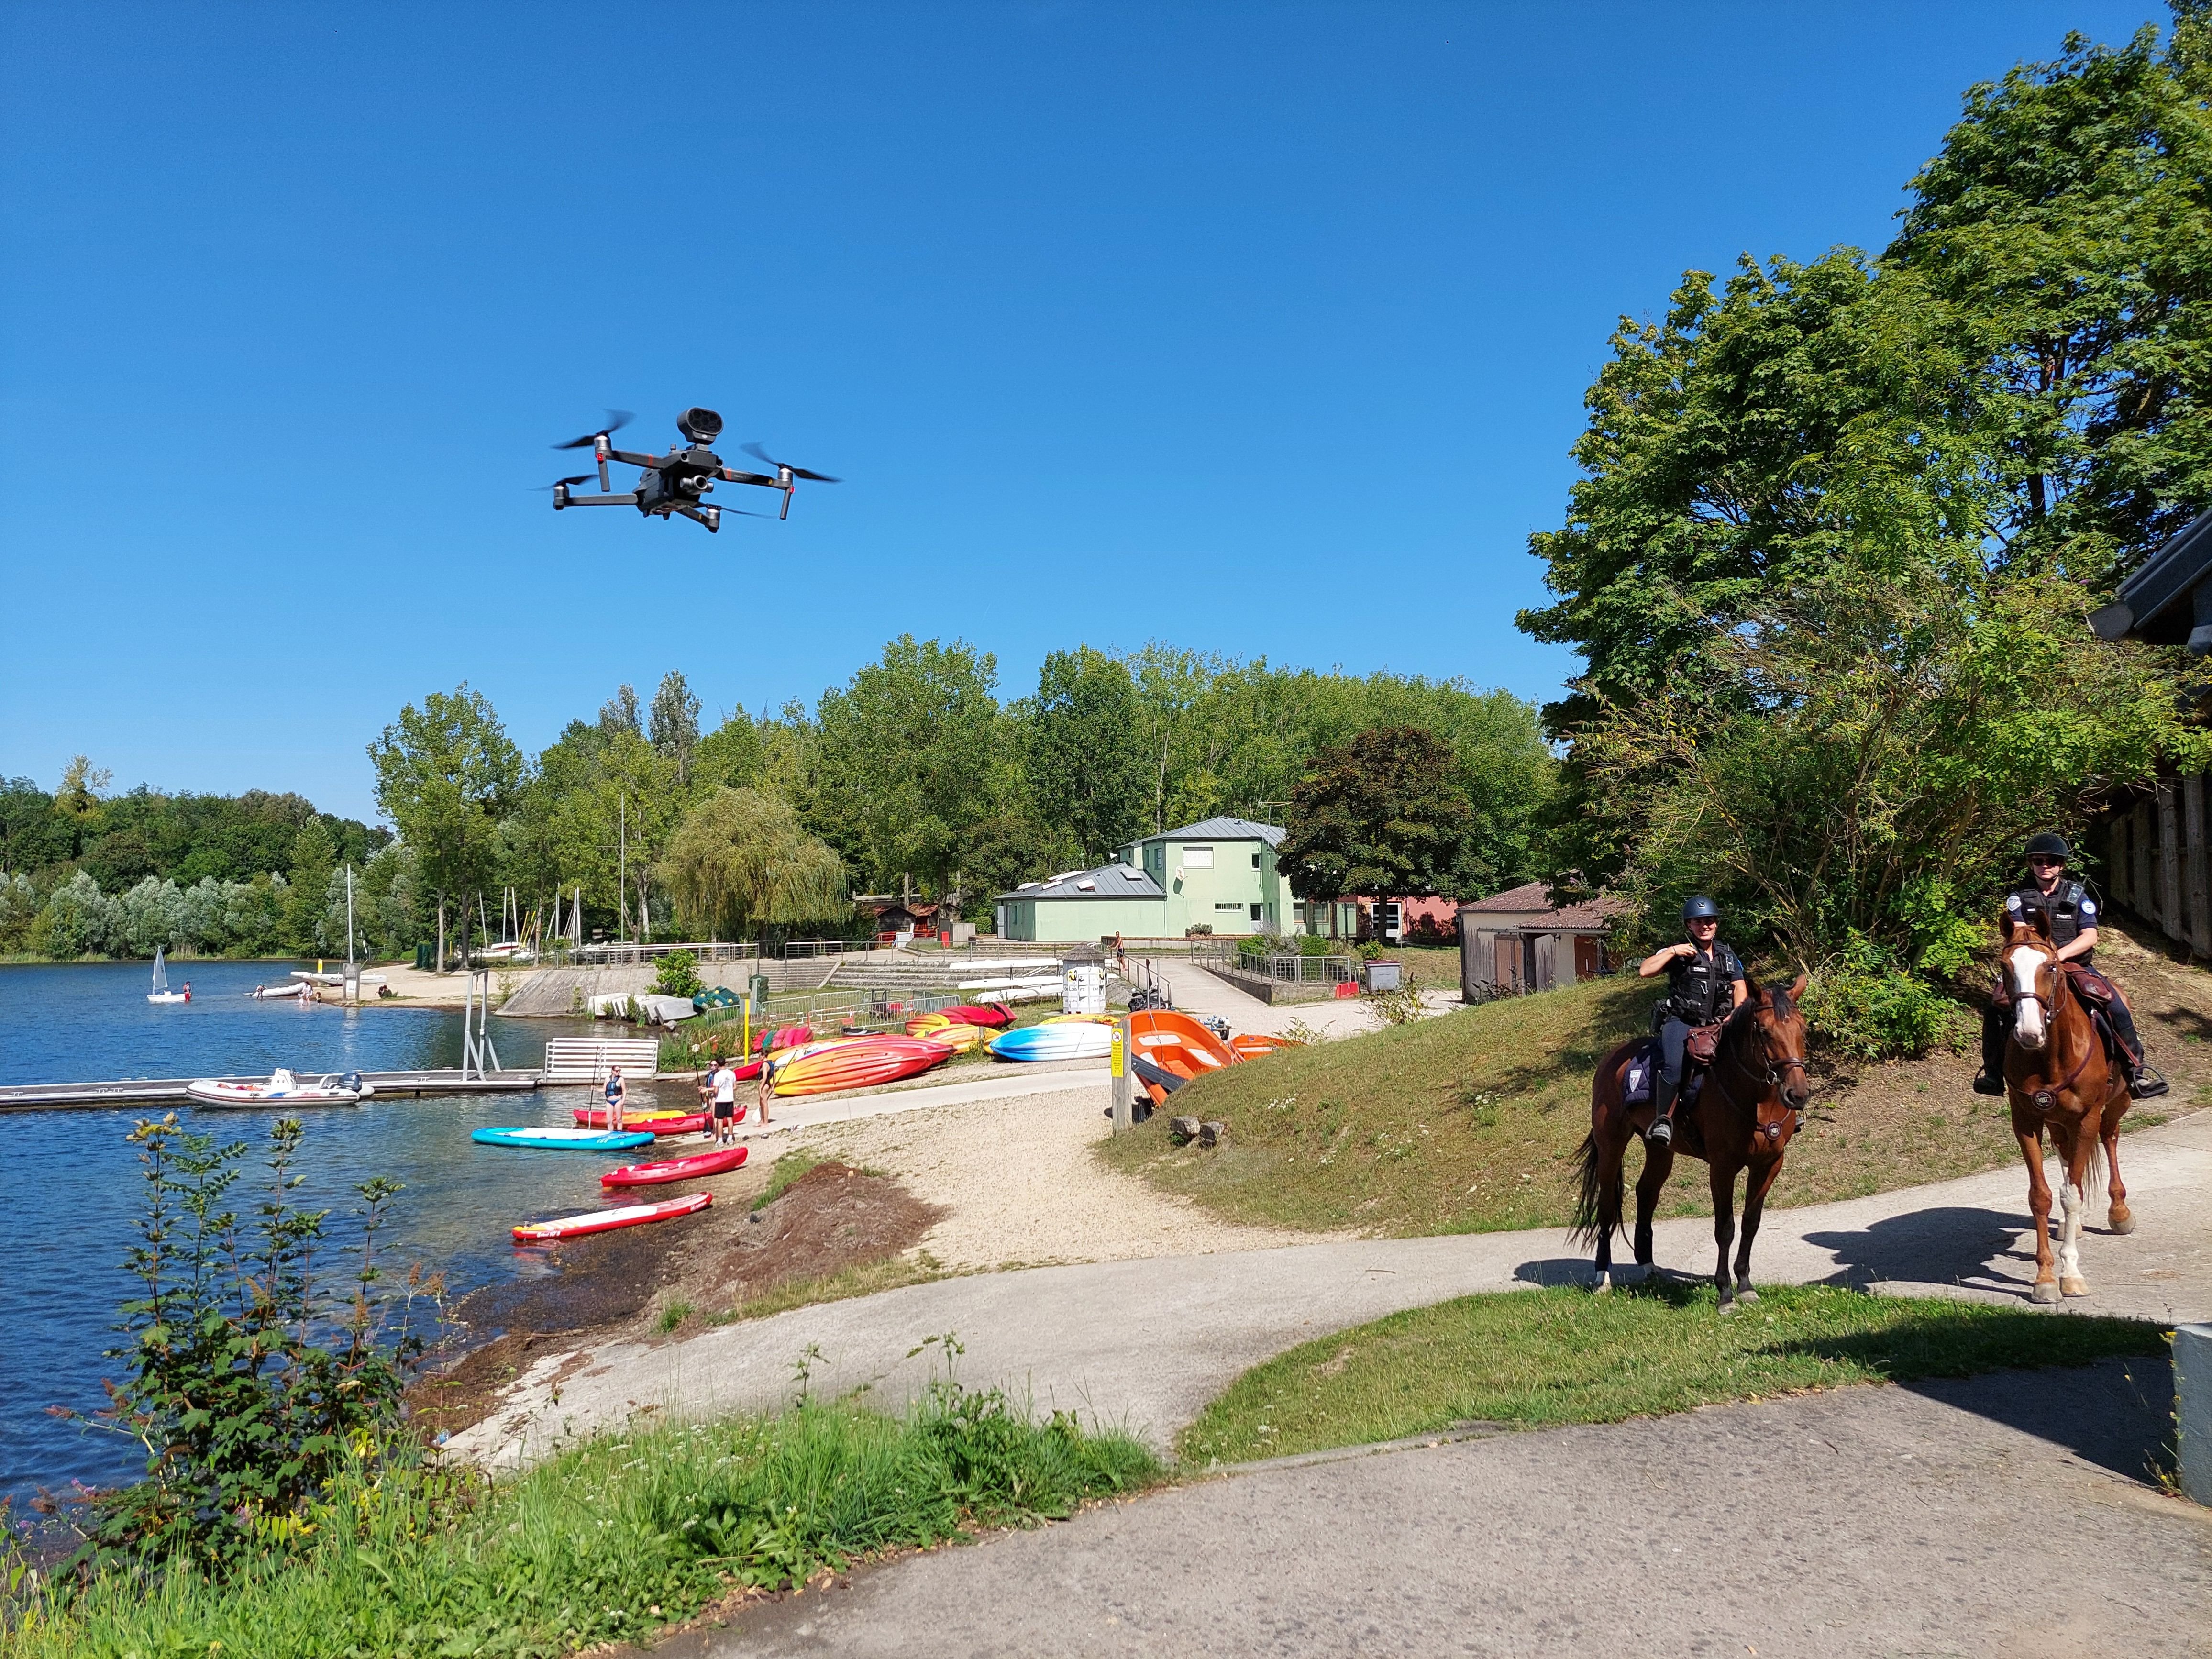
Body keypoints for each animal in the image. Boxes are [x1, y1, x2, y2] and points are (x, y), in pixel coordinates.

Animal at [1566, 973, 1805, 1309]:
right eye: (1765, 1031)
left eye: (1802, 1028)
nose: (1798, 1094)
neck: (1755, 1099)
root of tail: (1611, 1060)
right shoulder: (1722, 1168)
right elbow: (1725, 1228)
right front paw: (1725, 1293)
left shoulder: (1769, 1164)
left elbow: (1751, 1222)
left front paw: (1745, 1284)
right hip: (1611, 1146)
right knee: (1607, 1206)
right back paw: (1603, 1276)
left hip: (1659, 1150)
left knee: (1646, 1192)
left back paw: (1649, 1265)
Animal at [2000, 902, 2132, 1309]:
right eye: (2004, 967)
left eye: (2051, 967)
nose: (2028, 1033)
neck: (2049, 1058)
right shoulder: (2026, 1121)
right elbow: (2042, 1196)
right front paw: (2044, 1279)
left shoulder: (2087, 1118)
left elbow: (2072, 1196)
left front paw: (2071, 1275)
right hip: (2058, 1122)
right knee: (2065, 1155)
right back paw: (2066, 1227)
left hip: (2116, 1104)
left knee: (2110, 1138)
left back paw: (2119, 1211)